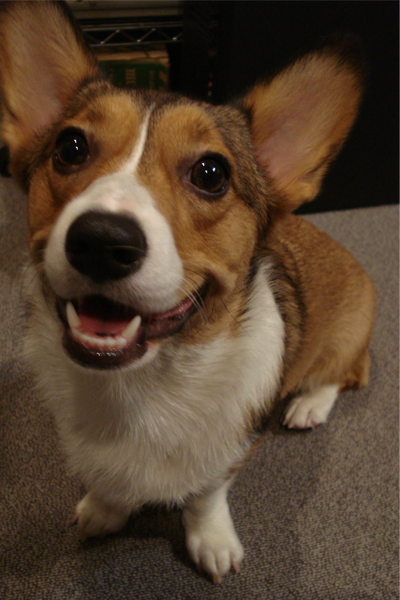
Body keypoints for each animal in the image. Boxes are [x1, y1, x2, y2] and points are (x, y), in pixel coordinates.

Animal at [0, 1, 375, 583]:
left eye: (211, 172)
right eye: (70, 147)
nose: (101, 241)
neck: (143, 386)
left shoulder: (230, 450)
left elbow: (205, 496)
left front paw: (212, 543)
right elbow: (108, 485)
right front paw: (105, 509)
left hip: (345, 338)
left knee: (347, 373)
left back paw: (309, 404)